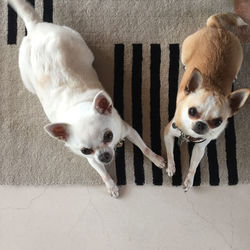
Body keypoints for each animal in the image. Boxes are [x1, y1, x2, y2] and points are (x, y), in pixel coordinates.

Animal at [8, 0, 166, 197]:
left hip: (76, 39)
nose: (104, 155)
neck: (79, 107)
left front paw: (156, 159)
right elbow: (101, 171)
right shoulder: (91, 159)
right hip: (27, 79)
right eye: (85, 150)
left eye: (108, 135)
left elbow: (144, 147)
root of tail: (36, 27)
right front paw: (111, 185)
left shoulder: (128, 129)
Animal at [165, 12, 249, 190]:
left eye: (217, 122)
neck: (189, 136)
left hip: (239, 58)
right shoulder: (168, 132)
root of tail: (217, 28)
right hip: (186, 50)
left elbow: (194, 163)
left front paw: (189, 179)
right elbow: (170, 152)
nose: (201, 124)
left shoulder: (200, 147)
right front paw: (171, 166)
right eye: (191, 111)